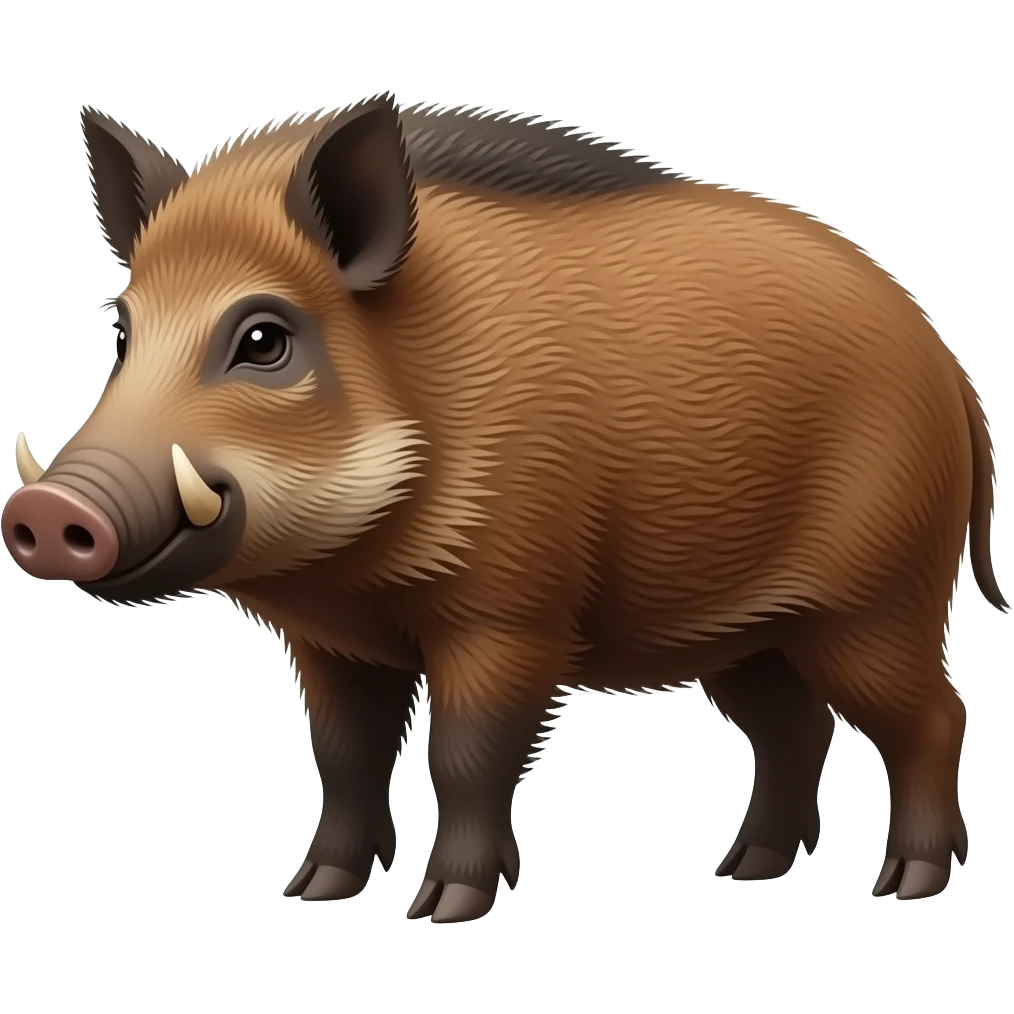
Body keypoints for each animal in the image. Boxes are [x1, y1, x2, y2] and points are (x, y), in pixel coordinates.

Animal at [2, 94, 1008, 922]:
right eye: (122, 331)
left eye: (263, 338)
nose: (47, 511)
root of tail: (954, 374)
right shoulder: (332, 644)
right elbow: (345, 755)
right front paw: (315, 891)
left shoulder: (512, 614)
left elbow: (466, 756)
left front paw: (443, 910)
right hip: (748, 633)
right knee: (796, 726)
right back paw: (745, 870)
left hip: (878, 596)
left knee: (933, 716)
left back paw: (906, 886)